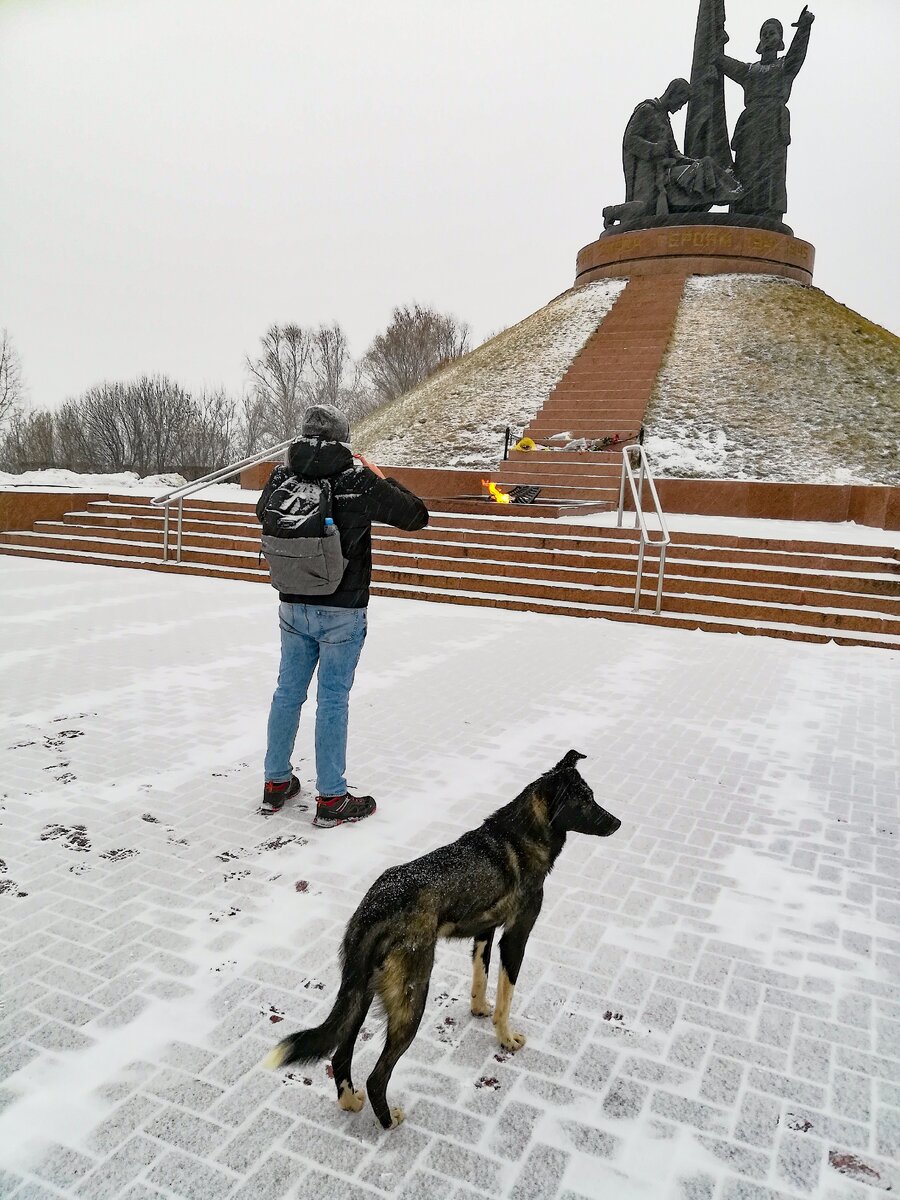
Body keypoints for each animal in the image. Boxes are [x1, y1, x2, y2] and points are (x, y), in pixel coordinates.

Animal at [264, 744, 624, 1128]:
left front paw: (479, 1009)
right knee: (377, 1075)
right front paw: (506, 1037)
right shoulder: (515, 937)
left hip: (359, 994)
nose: (617, 822)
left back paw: (349, 1102)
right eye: (585, 800)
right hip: (412, 997)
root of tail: (377, 905)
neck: (522, 834)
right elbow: (506, 997)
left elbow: (480, 979)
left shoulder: (484, 932)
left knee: (339, 1055)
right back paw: (389, 1121)